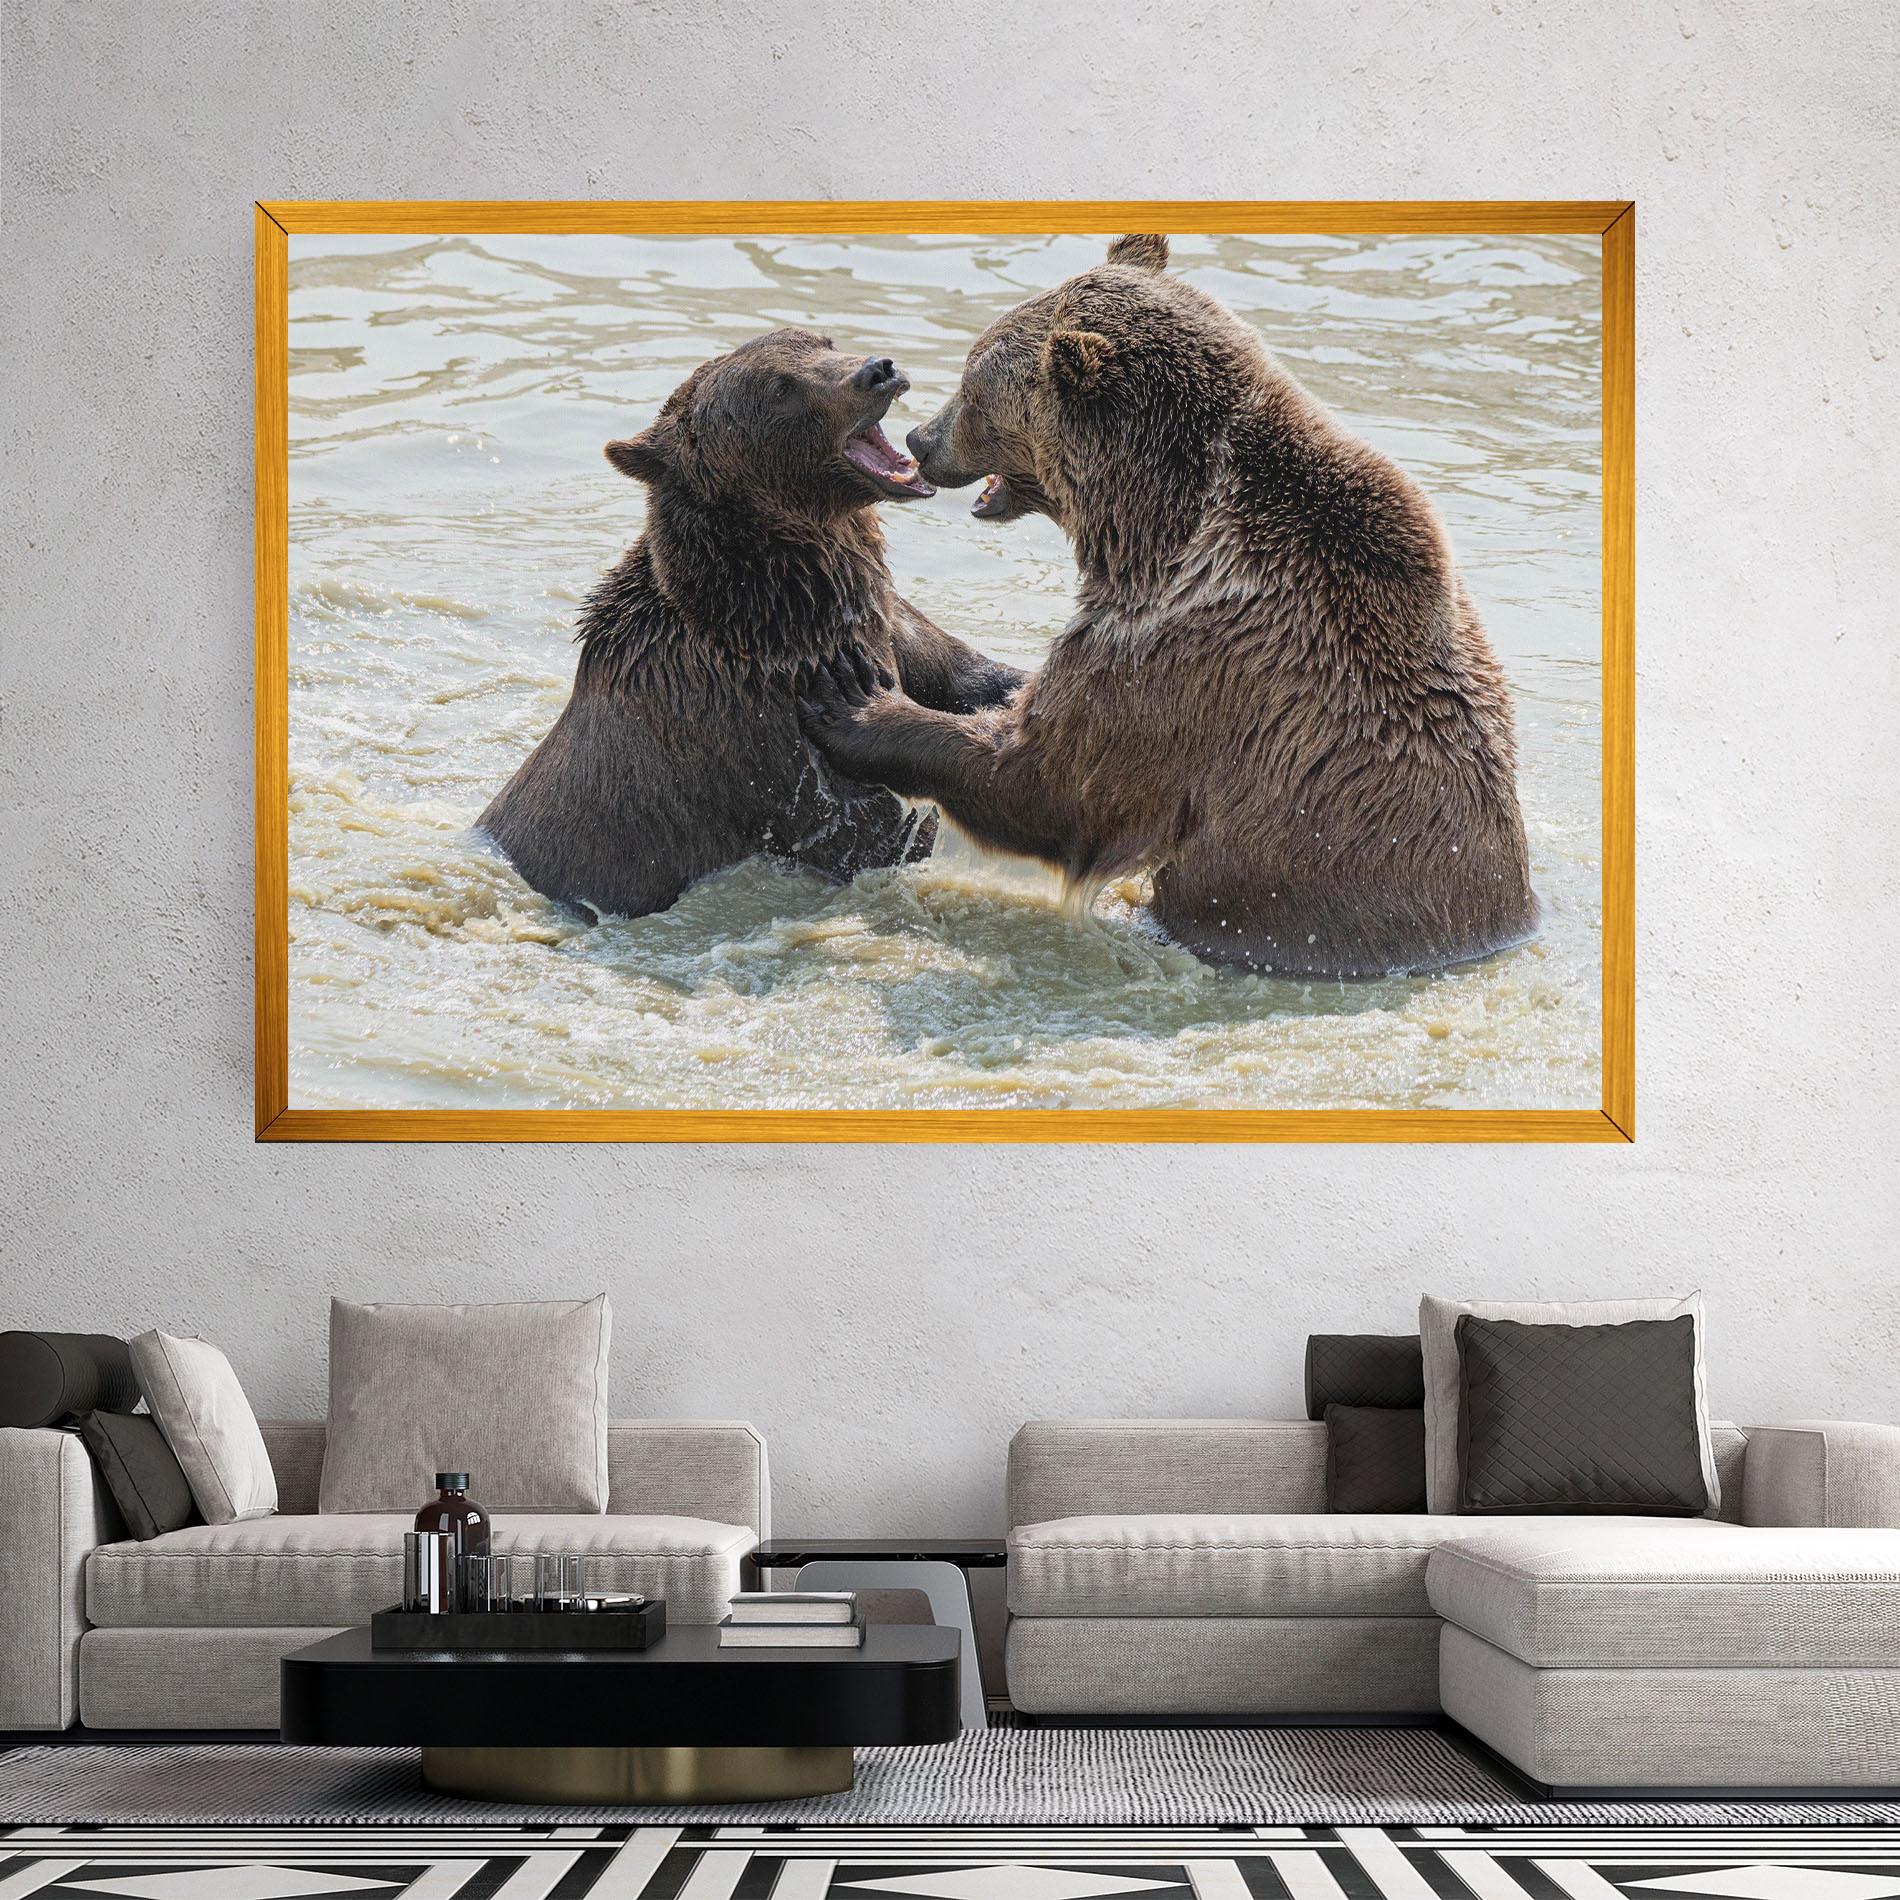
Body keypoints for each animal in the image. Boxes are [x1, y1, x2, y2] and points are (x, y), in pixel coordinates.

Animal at [477, 328, 1024, 922]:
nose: (878, 370)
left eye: (822, 341)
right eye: (781, 388)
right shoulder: (757, 730)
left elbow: (966, 673)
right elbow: (867, 827)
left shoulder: (886, 621)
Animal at [797, 235, 1538, 980]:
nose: (922, 440)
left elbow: (1051, 780)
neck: (1153, 528)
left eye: (974, 388)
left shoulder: (1182, 656)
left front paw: (858, 703)